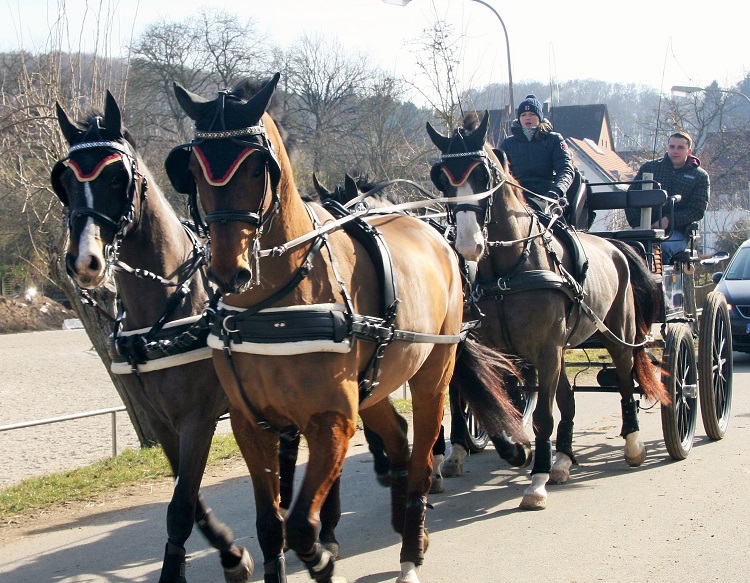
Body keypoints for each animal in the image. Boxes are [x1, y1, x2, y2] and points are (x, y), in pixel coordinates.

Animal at [50, 93, 256, 580]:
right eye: (63, 180)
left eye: (117, 177)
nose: (83, 261)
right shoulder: (161, 421)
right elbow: (189, 499)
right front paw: (231, 553)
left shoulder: (198, 416)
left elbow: (180, 507)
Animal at [166, 73, 528, 583]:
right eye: (194, 171)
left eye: (257, 169)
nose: (228, 271)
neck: (273, 305)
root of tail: (438, 235)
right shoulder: (250, 424)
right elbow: (271, 525)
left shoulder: (332, 420)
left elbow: (302, 524)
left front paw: (322, 555)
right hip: (376, 386)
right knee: (397, 439)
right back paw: (407, 523)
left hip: (432, 378)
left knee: (421, 457)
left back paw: (411, 546)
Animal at [426, 109, 672, 512]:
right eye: (442, 178)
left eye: (483, 176)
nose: (468, 244)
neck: (509, 269)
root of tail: (617, 245)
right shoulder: (503, 350)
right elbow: (495, 401)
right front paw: (518, 452)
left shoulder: (545, 349)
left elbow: (542, 417)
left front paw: (536, 480)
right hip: (559, 350)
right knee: (567, 401)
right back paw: (563, 460)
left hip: (616, 337)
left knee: (623, 382)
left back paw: (632, 445)